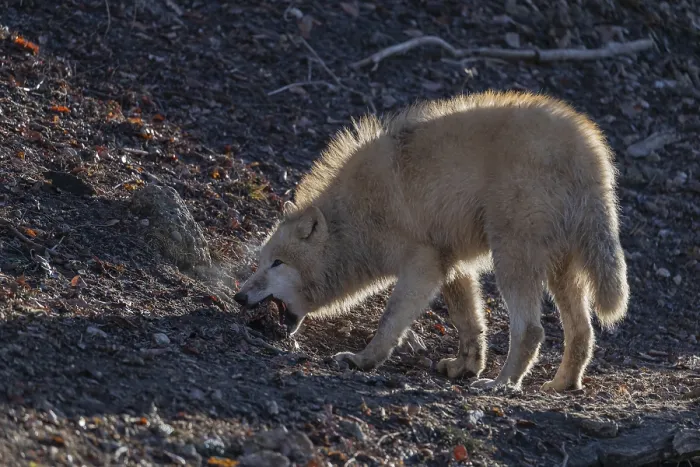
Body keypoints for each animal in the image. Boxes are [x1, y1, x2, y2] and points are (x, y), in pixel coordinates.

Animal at [234, 90, 629, 392]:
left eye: (277, 263)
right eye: (261, 262)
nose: (239, 296)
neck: (357, 215)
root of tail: (589, 148)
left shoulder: (422, 267)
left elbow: (390, 322)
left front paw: (363, 361)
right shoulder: (451, 264)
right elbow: (469, 323)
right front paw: (465, 366)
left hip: (512, 260)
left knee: (531, 330)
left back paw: (502, 385)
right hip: (560, 273)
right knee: (582, 332)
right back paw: (562, 384)